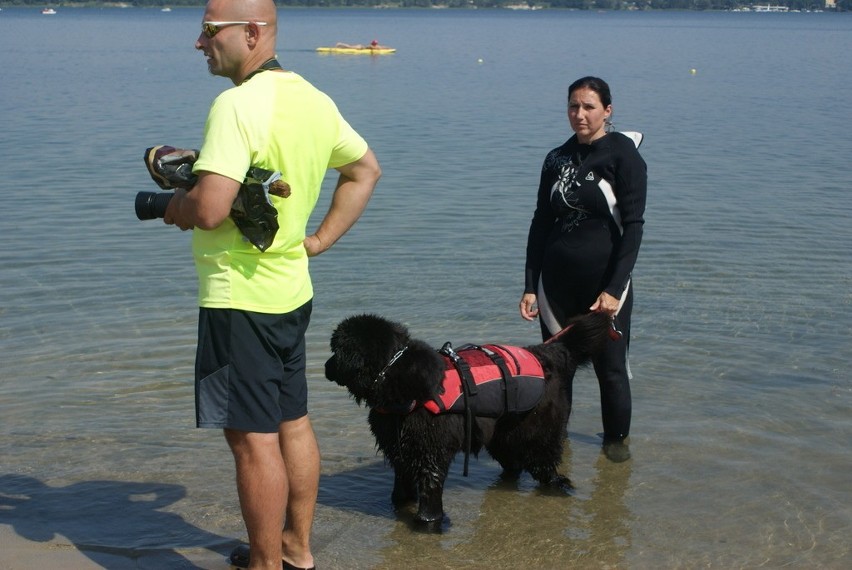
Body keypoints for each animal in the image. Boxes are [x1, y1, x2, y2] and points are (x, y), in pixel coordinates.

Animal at [322, 310, 608, 528]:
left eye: (335, 351)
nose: (325, 366)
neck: (394, 374)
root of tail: (544, 353)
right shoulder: (399, 448)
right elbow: (402, 484)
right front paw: (400, 504)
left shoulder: (429, 451)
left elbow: (430, 488)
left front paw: (428, 523)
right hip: (501, 434)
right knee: (513, 464)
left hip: (538, 433)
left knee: (545, 466)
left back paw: (560, 487)